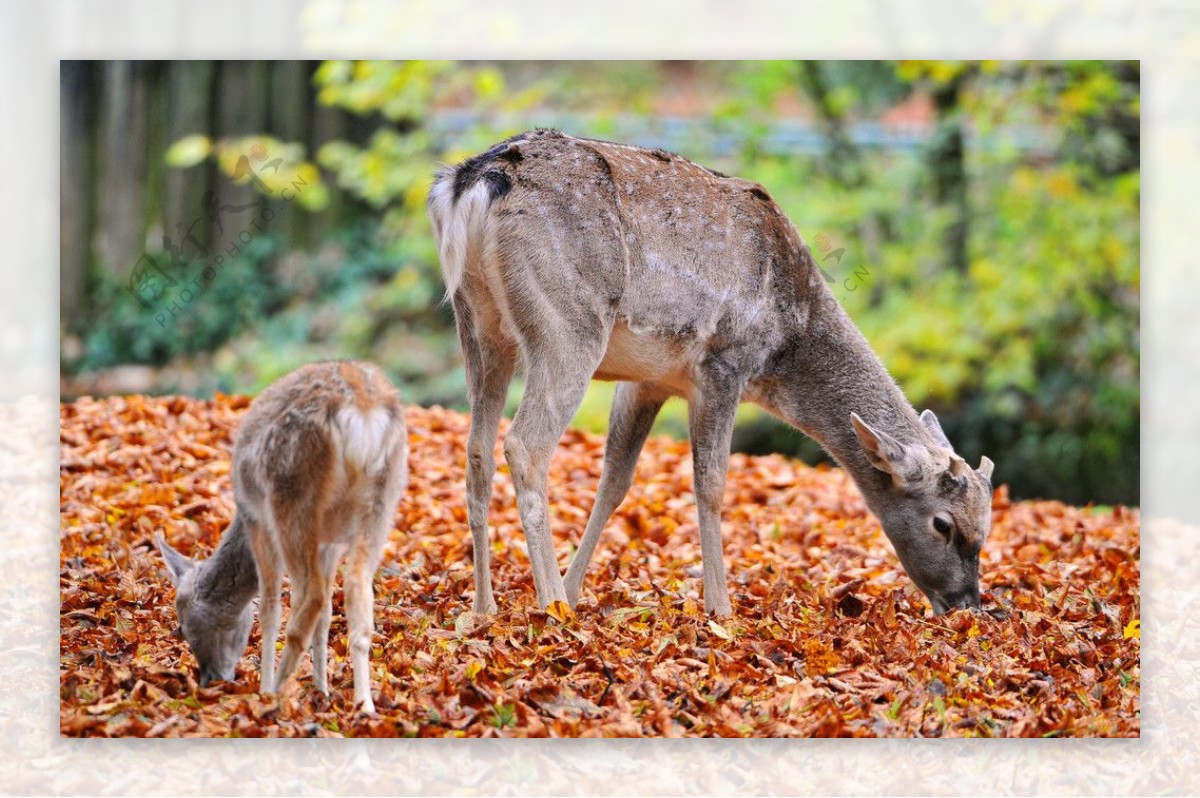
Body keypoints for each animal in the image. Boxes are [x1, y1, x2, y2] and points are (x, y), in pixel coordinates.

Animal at [156, 360, 408, 710]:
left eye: (181, 628)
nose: (208, 680)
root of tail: (363, 410)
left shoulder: (258, 522)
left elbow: (271, 607)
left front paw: (268, 686)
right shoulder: (328, 542)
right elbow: (325, 615)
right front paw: (321, 690)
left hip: (291, 495)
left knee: (312, 596)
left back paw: (274, 693)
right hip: (383, 499)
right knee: (355, 589)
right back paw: (364, 706)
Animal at [429, 129, 993, 614]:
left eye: (983, 532)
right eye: (943, 524)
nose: (966, 604)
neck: (783, 351)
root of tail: (474, 181)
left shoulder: (648, 380)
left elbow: (617, 480)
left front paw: (576, 586)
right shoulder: (724, 363)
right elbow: (713, 484)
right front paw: (720, 608)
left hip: (477, 324)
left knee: (477, 450)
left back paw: (485, 608)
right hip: (567, 327)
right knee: (525, 445)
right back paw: (550, 607)